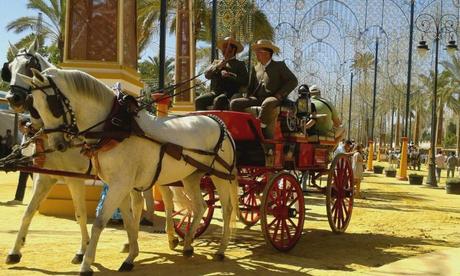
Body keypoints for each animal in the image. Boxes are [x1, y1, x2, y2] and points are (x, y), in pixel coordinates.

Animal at [18, 68, 239, 274]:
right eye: (35, 107)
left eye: (53, 105)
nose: (57, 144)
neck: (115, 128)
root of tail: (218, 122)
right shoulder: (119, 186)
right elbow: (129, 221)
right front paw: (131, 255)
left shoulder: (120, 184)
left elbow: (100, 222)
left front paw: (86, 263)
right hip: (191, 176)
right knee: (200, 206)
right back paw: (187, 245)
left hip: (220, 175)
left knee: (227, 209)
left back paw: (221, 249)